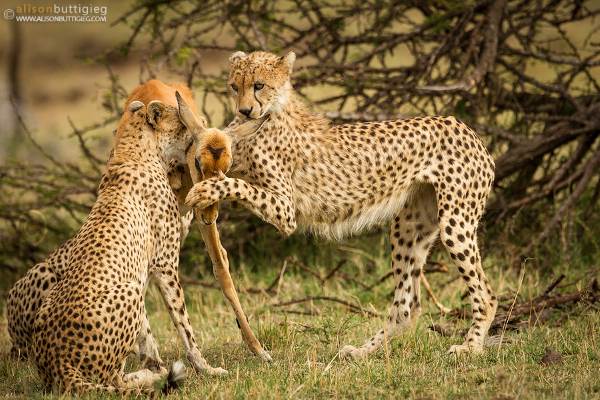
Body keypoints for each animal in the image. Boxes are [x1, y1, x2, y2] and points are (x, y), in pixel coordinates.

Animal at [186, 50, 496, 360]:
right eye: (234, 87)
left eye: (259, 85)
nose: (245, 110)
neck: (272, 113)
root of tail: (467, 129)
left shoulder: (285, 210)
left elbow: (238, 185)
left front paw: (205, 189)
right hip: (410, 226)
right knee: (406, 307)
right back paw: (362, 352)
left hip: (455, 223)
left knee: (486, 294)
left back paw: (470, 347)